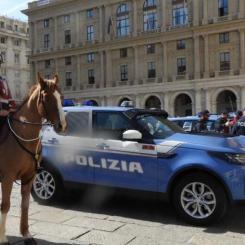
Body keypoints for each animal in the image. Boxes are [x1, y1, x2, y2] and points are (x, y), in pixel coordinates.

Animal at [0, 73, 66, 244]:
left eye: (61, 97)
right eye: (46, 97)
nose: (62, 125)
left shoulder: (29, 177)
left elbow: (25, 205)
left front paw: (26, 234)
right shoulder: (7, 178)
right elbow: (5, 205)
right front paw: (2, 237)